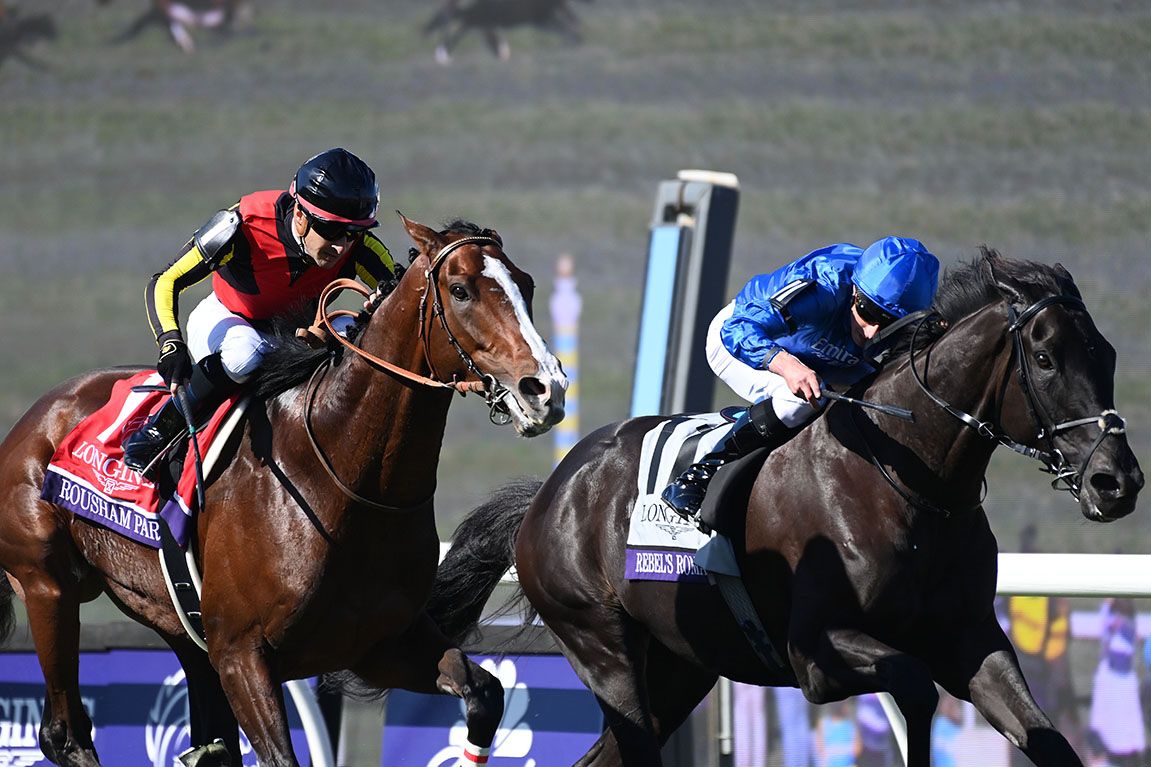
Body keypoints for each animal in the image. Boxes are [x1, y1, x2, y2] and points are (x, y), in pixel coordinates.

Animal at [0, 215, 566, 764]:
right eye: (460, 289)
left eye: (527, 284)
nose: (546, 389)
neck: (342, 479)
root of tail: (38, 414)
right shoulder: (242, 654)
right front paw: (175, 361)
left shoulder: (382, 643)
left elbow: (485, 694)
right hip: (48, 585)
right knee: (63, 733)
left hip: (176, 622)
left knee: (207, 743)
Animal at [430, 251, 1141, 764]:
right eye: (1044, 359)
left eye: (1107, 354)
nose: (1118, 482)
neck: (910, 480)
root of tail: (550, 494)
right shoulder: (816, 655)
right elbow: (913, 689)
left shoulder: (971, 639)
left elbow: (1045, 737)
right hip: (602, 649)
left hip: (680, 667)